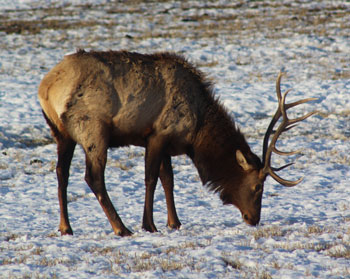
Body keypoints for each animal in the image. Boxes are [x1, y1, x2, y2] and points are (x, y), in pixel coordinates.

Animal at [38, 49, 318, 236]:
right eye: (258, 186)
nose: (253, 219)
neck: (197, 132)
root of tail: (46, 88)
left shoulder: (166, 143)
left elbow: (168, 180)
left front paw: (174, 222)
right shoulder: (158, 134)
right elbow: (151, 179)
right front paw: (149, 225)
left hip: (61, 133)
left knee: (61, 172)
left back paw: (66, 227)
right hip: (93, 130)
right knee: (93, 177)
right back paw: (121, 227)